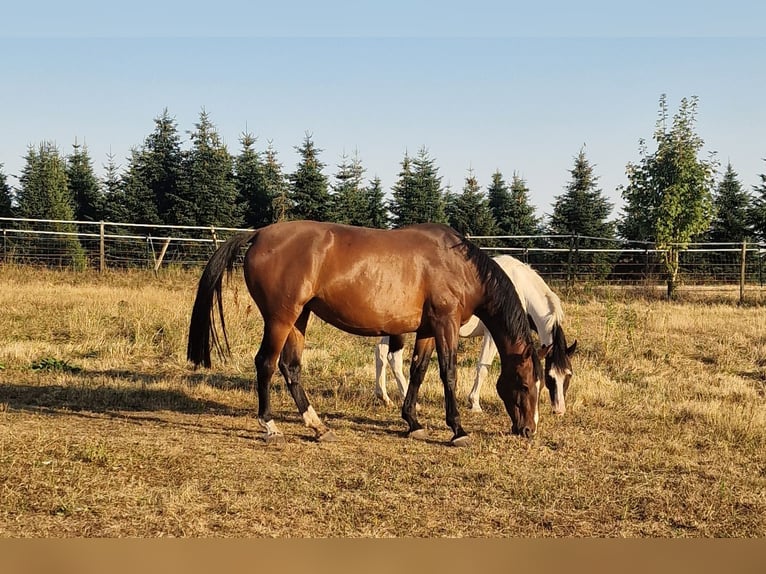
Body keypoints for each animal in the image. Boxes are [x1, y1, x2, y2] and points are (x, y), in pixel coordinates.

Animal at [187, 220, 543, 447]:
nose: (528, 430)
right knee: (266, 364)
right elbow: (448, 373)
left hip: (300, 317)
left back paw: (318, 426)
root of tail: (260, 233)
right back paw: (270, 426)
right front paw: (457, 429)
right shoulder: (446, 323)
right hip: (280, 318)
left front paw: (413, 422)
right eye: (525, 384)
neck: (457, 264)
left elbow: (418, 371)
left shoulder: (428, 329)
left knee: (291, 368)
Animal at [375, 255, 577, 414]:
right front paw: (475, 403)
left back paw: (384, 397)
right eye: (550, 376)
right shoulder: (492, 335)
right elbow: (483, 367)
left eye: (568, 375)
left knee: (381, 354)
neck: (519, 287)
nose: (559, 410)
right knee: (394, 358)